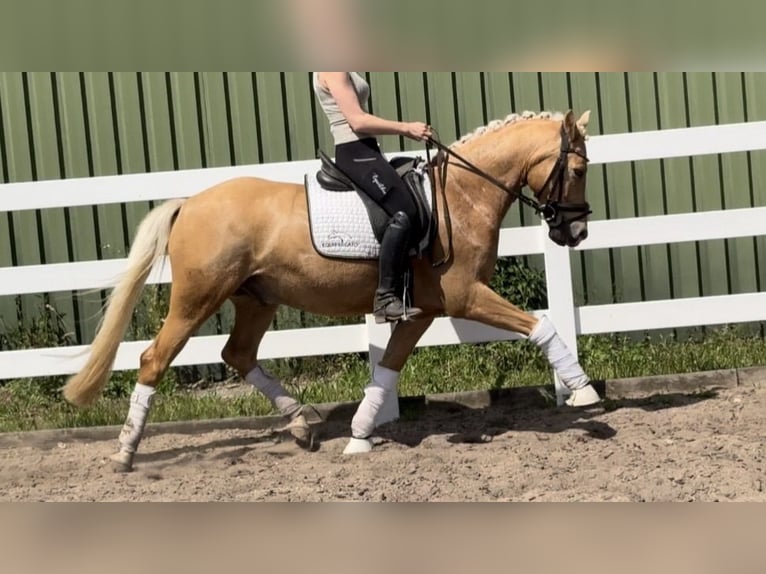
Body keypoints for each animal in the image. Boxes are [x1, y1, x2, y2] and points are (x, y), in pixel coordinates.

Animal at [63, 109, 599, 472]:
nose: (574, 233)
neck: (461, 197)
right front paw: (584, 393)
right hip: (197, 298)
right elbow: (542, 325)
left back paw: (301, 424)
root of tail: (190, 202)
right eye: (577, 170)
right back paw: (125, 452)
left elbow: (387, 370)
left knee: (238, 354)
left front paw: (359, 436)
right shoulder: (466, 295)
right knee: (154, 359)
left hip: (256, 299)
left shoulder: (423, 310)